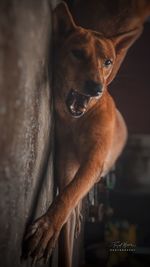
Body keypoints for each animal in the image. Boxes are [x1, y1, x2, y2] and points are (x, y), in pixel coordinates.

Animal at [24, 1, 150, 266]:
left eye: (108, 62)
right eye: (77, 53)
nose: (96, 88)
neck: (79, 121)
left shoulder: (94, 162)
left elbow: (69, 195)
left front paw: (46, 227)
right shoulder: (66, 169)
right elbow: (66, 201)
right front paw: (52, 230)